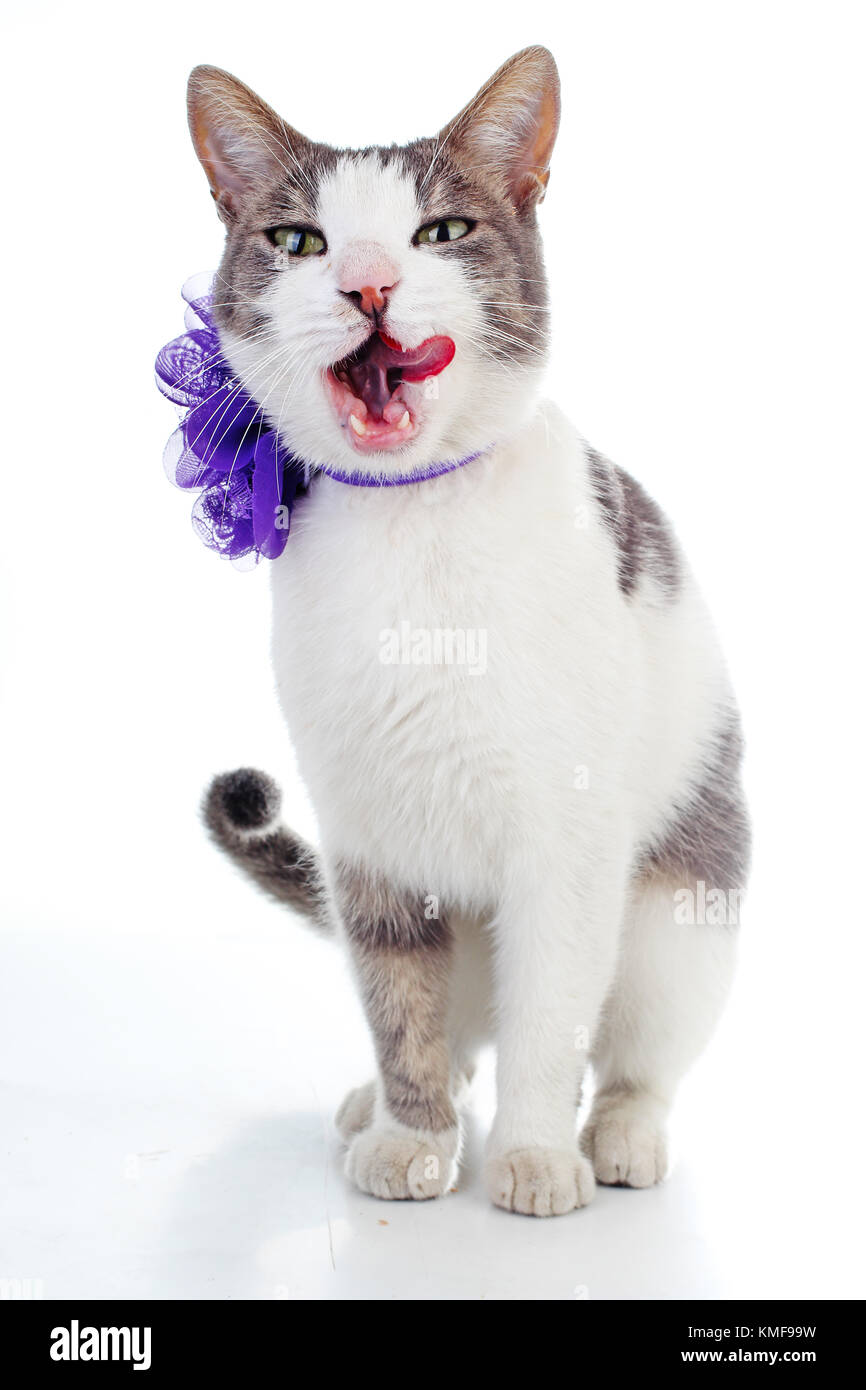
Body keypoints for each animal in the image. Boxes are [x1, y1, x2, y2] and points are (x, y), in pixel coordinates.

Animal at [184, 46, 750, 1217]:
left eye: (439, 231)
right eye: (300, 241)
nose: (367, 282)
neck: (414, 534)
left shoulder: (567, 845)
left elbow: (551, 1019)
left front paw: (532, 1154)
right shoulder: (365, 837)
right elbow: (397, 993)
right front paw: (412, 1136)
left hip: (679, 919)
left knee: (634, 1051)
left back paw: (619, 1132)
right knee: (448, 1024)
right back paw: (393, 1101)